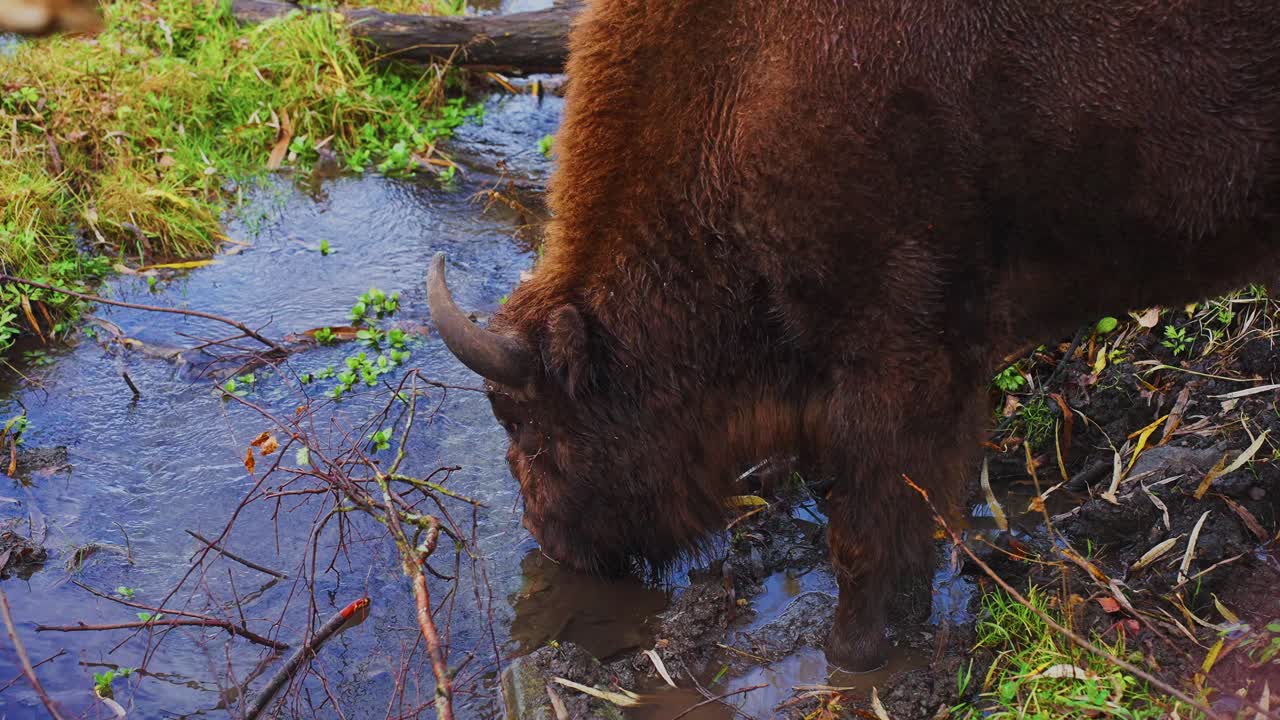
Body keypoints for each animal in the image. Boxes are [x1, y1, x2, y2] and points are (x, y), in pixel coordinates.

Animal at [430, 1, 1280, 670]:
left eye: (527, 423)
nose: (550, 541)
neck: (738, 82)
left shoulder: (895, 362)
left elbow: (866, 528)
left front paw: (853, 653)